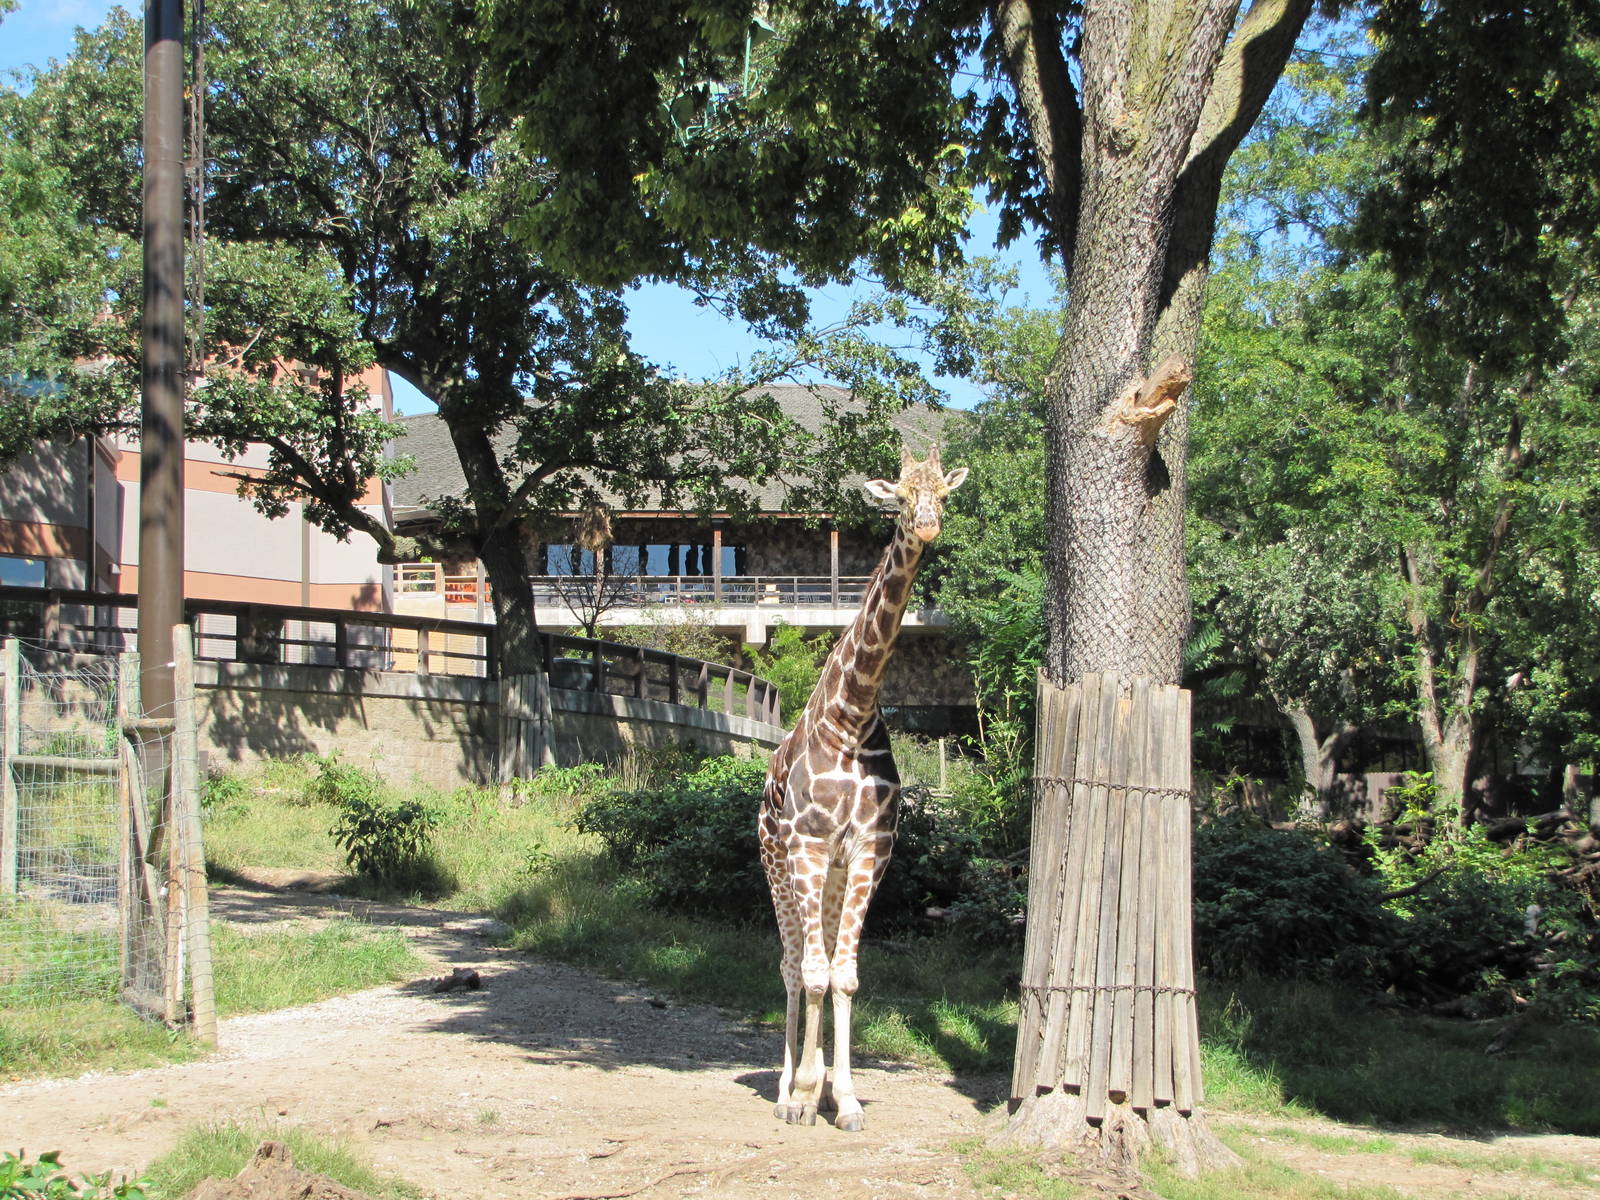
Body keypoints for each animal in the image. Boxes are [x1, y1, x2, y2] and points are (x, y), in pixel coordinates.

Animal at [758, 444, 968, 1132]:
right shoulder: (809, 846)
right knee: (792, 966)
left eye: (943, 493)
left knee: (821, 962)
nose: (927, 524)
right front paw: (801, 1092)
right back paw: (784, 1090)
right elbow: (814, 974)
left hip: (828, 875)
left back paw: (819, 1088)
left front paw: (842, 1098)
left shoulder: (871, 851)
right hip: (778, 863)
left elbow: (845, 976)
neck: (850, 715)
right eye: (899, 495)